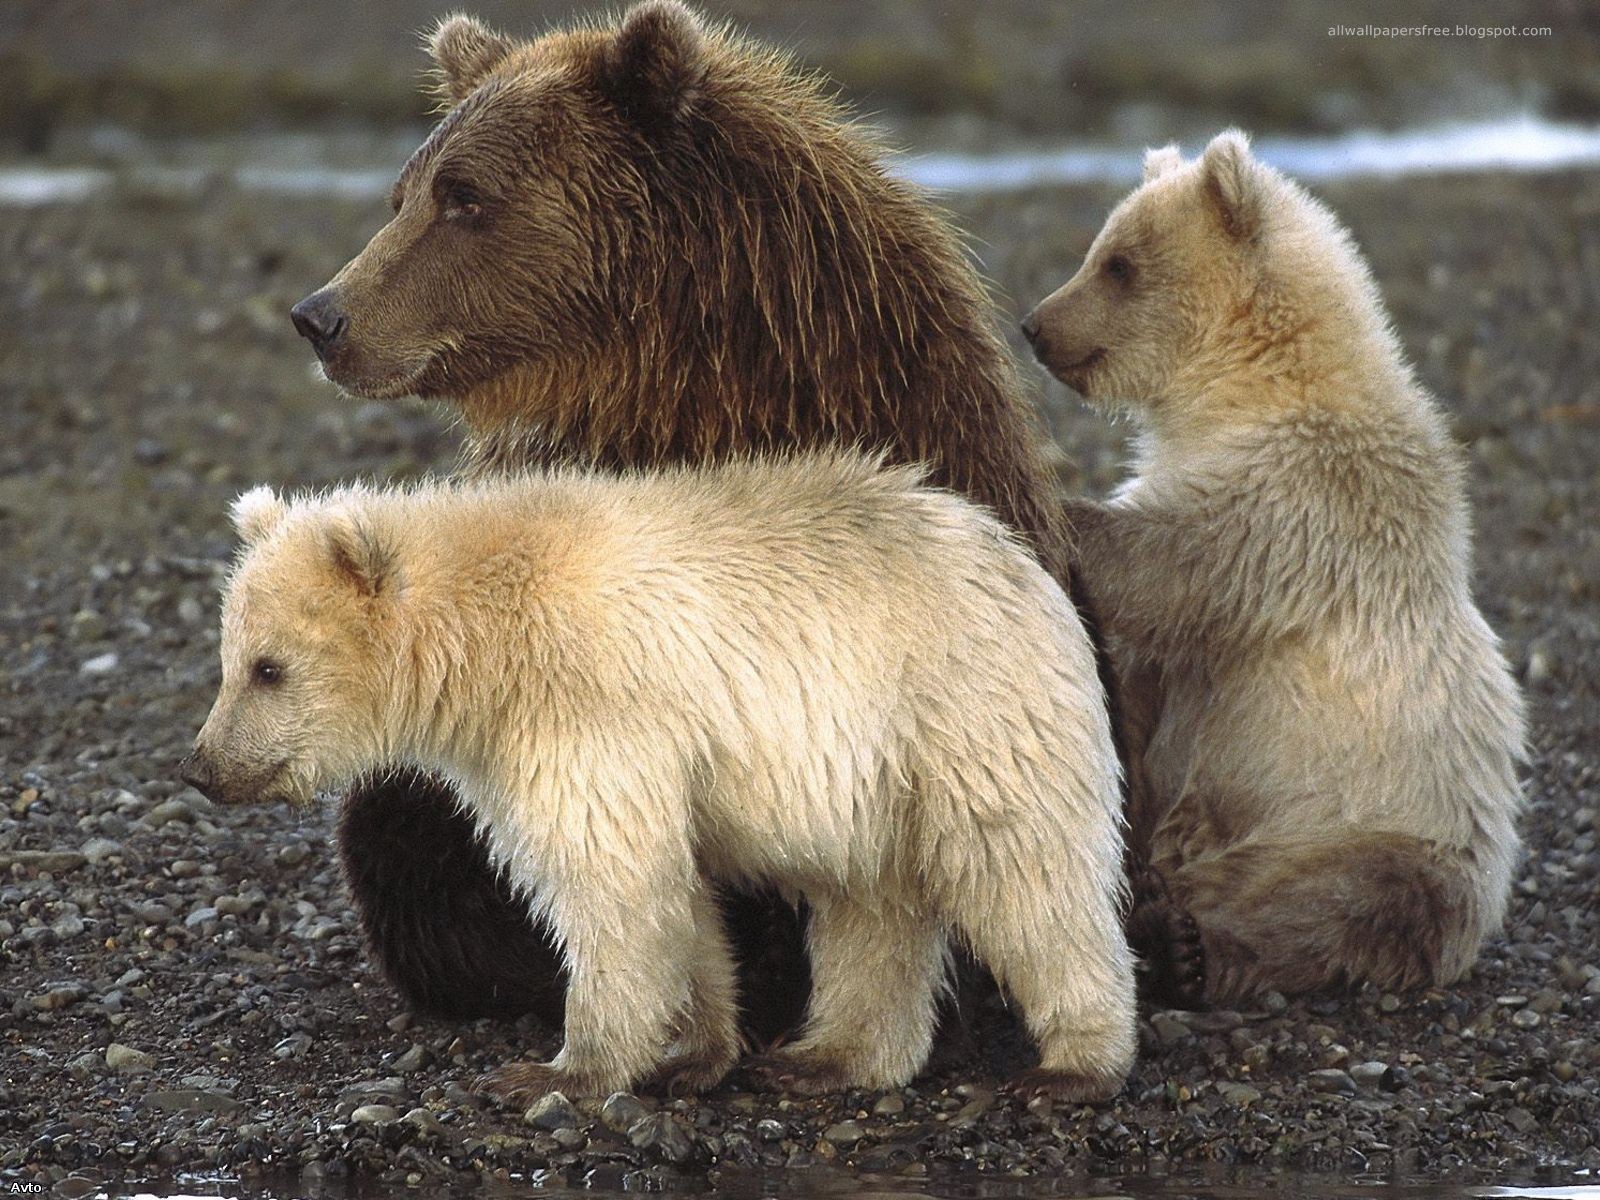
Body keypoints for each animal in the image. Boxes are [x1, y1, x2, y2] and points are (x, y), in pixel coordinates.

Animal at [179, 453, 1136, 1103]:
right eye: (227, 659)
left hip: (963, 716)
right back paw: (829, 1056)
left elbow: (611, 881)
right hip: (870, 781)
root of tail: (1024, 563)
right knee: (873, 907)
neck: (486, 650)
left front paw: (556, 1070)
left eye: (269, 668)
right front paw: (693, 1049)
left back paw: (1076, 1063)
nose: (203, 767)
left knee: (1026, 879)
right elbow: (676, 897)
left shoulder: (588, 711)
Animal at [1020, 130, 1527, 1007]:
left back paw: (1182, 943)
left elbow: (1179, 563)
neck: (1244, 387)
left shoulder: (1306, 498)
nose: (1035, 325)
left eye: (1118, 263)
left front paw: (1065, 506)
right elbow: (1144, 672)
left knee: (1350, 899)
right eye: (1100, 250)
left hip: (1384, 814)